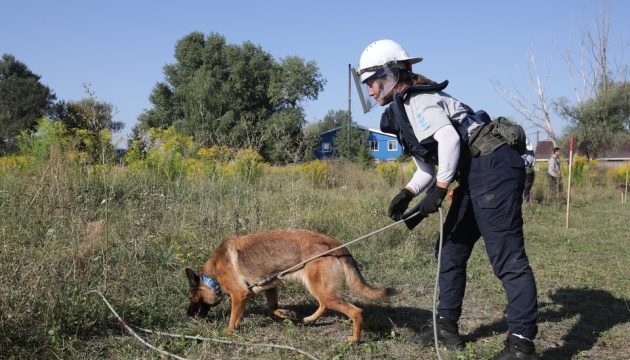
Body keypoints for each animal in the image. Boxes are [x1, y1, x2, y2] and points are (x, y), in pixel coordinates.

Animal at [185, 229, 398, 342]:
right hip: (320, 290)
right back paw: (309, 319)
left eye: (191, 297)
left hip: (323, 291)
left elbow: (232, 319)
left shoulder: (240, 295)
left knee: (356, 312)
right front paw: (286, 314)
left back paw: (354, 339)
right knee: (324, 305)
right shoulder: (270, 287)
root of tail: (336, 245)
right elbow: (272, 308)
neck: (212, 276)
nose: (187, 315)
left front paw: (227, 333)